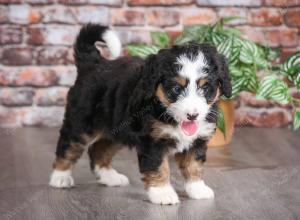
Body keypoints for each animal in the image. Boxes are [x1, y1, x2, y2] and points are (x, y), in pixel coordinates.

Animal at [49, 24, 232, 205]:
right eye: (176, 89)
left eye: (206, 88)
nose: (192, 115)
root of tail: (94, 63)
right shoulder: (153, 141)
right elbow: (158, 166)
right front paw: (163, 193)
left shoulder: (197, 140)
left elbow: (193, 165)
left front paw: (198, 189)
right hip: (81, 123)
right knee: (68, 146)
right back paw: (60, 178)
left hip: (117, 130)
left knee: (99, 150)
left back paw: (109, 177)